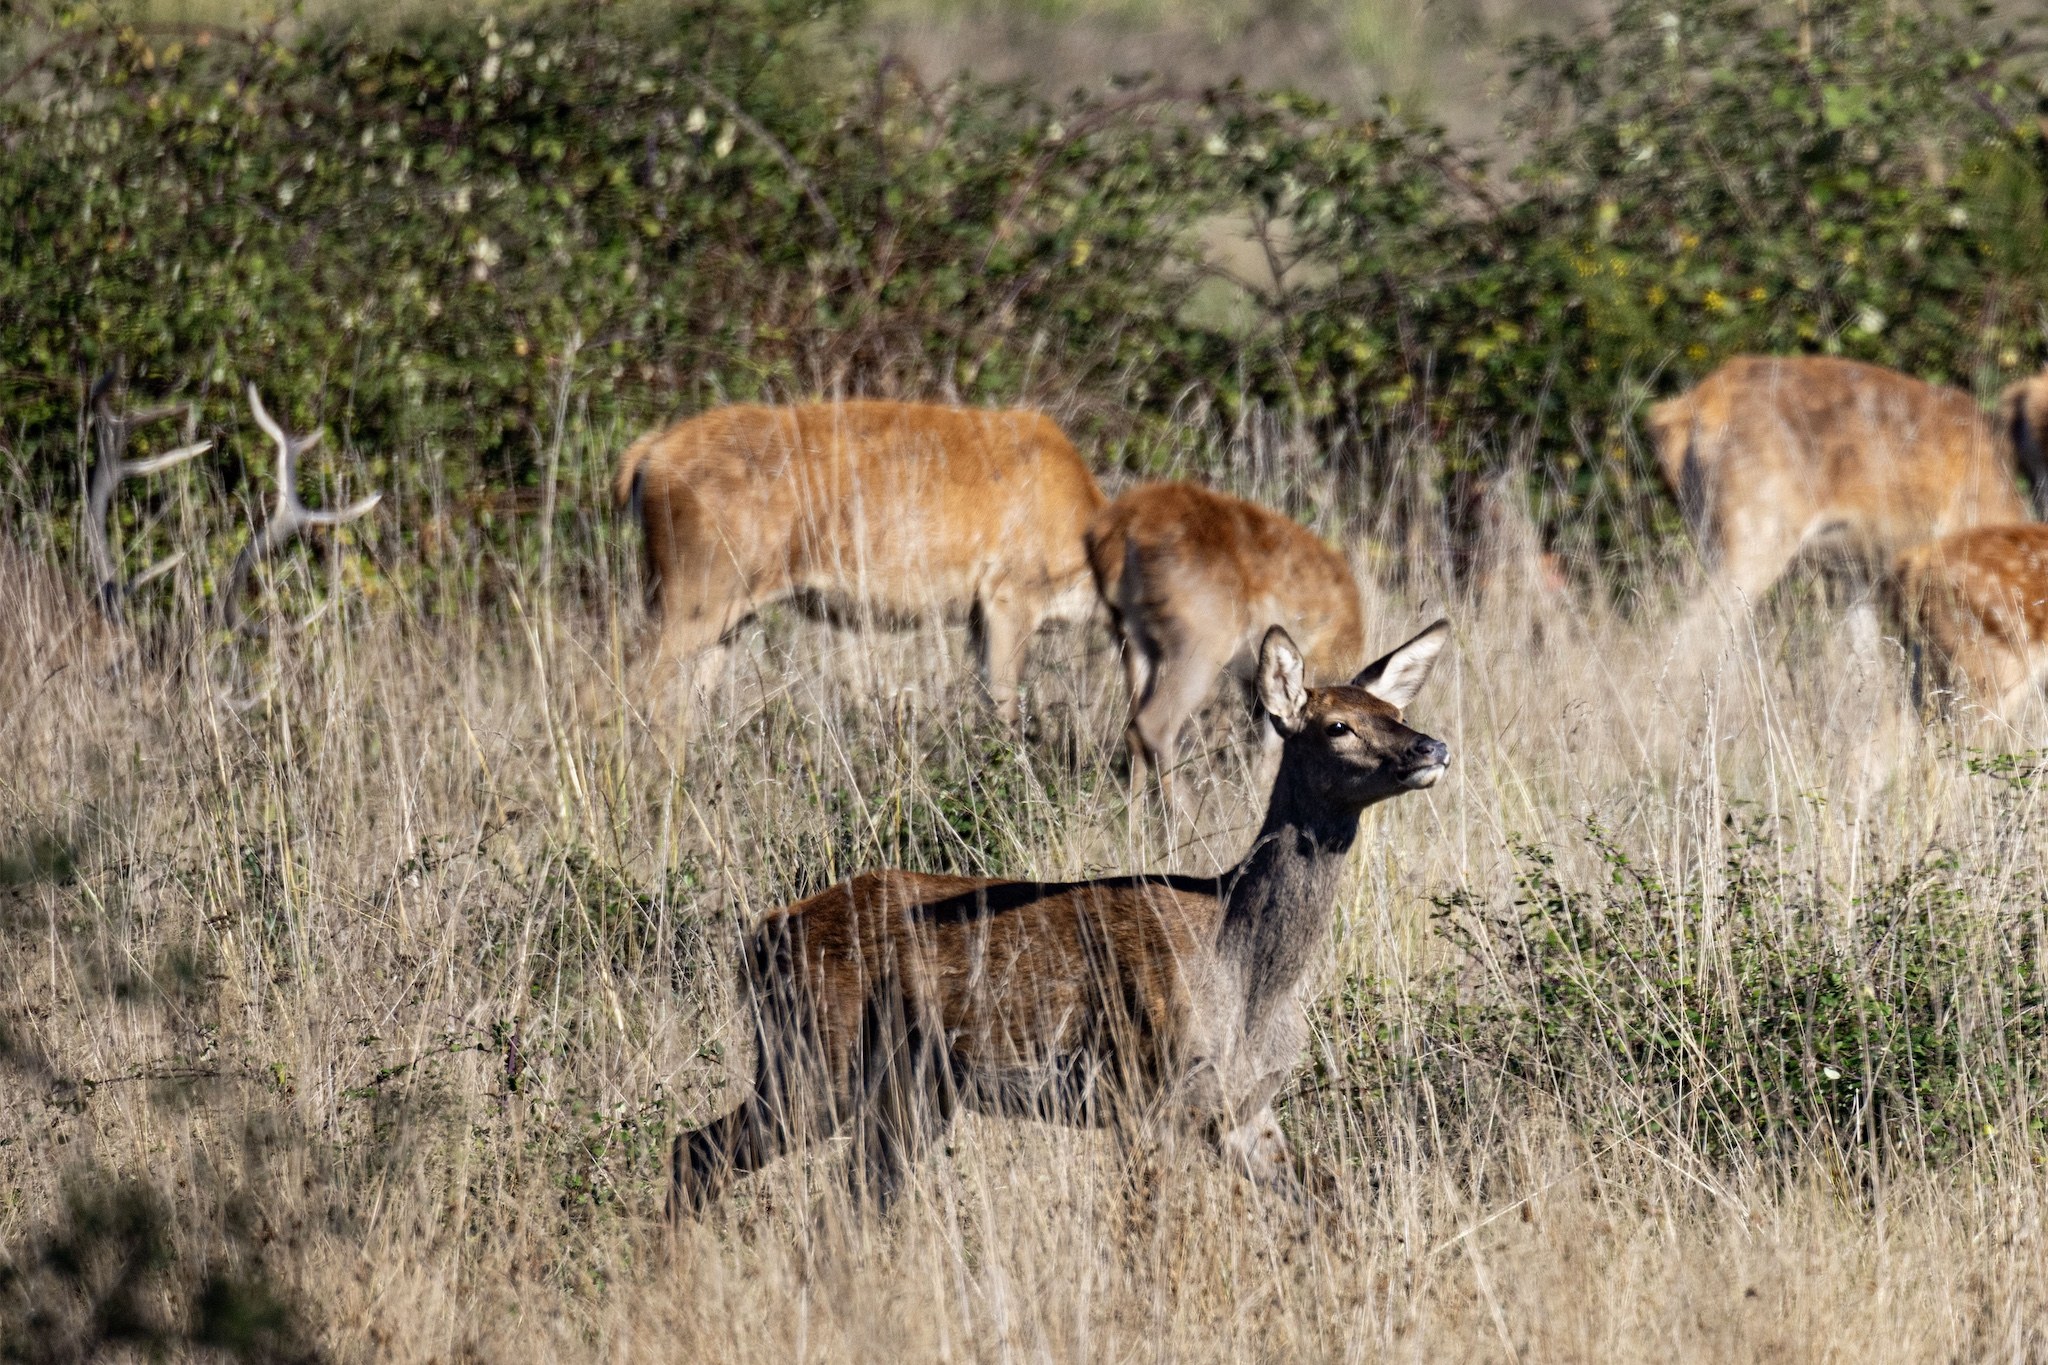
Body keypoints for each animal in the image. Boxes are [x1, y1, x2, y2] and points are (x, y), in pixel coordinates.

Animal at [612, 401, 1105, 725]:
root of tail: (649, 453)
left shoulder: (977, 615)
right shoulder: (1010, 595)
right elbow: (1006, 710)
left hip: (729, 612)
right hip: (693, 593)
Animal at [671, 618, 1450, 1217]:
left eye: (1395, 714)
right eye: (1338, 726)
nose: (1430, 746)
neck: (1246, 969)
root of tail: (763, 932)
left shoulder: (1243, 1111)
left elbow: (1335, 1201)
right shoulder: (1146, 1088)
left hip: (904, 1088)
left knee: (847, 1195)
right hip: (814, 1060)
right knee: (695, 1149)